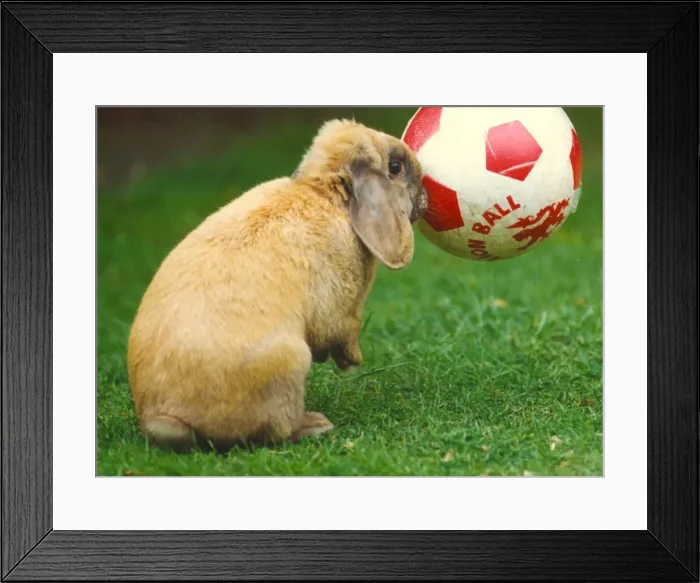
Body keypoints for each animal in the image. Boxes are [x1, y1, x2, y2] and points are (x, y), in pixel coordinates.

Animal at [127, 118, 428, 452]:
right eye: (395, 166)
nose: (426, 193)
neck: (328, 196)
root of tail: (164, 417)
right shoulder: (341, 309)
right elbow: (343, 330)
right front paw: (352, 361)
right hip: (291, 362)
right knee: (278, 431)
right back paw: (316, 425)